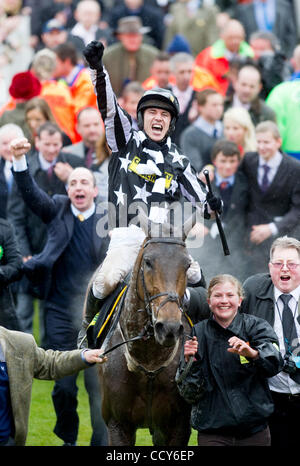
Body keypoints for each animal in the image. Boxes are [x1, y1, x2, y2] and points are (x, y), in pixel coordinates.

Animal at [97, 218, 198, 444]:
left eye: (187, 264)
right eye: (149, 262)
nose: (168, 327)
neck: (149, 359)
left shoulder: (178, 425)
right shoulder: (117, 423)